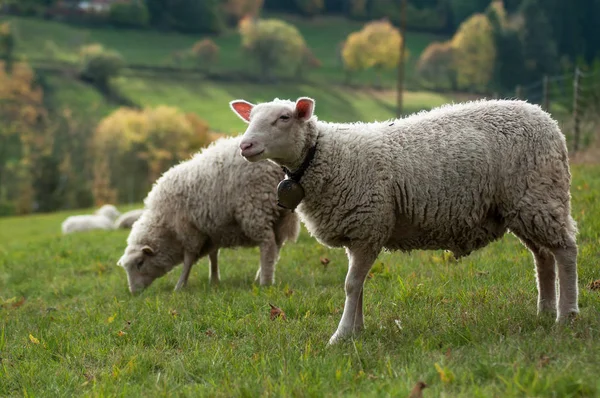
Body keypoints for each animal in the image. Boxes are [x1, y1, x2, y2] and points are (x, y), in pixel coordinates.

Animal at [115, 135, 300, 294]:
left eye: (140, 263)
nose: (134, 292)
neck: (163, 223)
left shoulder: (189, 230)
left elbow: (189, 259)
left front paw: (180, 286)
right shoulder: (212, 230)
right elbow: (213, 256)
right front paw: (214, 280)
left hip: (255, 207)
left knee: (267, 244)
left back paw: (265, 281)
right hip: (281, 214)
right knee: (276, 246)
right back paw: (262, 275)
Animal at [232, 97, 580, 346]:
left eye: (284, 118)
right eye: (251, 118)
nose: (245, 146)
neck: (325, 155)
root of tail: (548, 120)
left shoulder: (368, 225)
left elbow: (350, 285)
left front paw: (340, 336)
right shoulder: (359, 231)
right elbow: (358, 285)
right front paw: (358, 330)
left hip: (539, 195)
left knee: (565, 252)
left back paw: (566, 316)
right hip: (524, 206)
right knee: (543, 257)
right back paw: (545, 310)